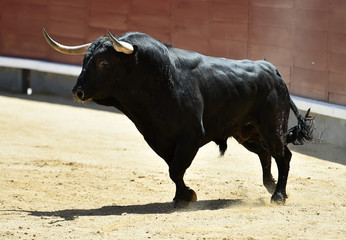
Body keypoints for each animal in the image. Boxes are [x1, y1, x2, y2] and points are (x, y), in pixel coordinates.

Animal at [43, 29, 314, 206]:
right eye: (85, 60)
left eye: (104, 63)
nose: (78, 91)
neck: (159, 80)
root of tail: (273, 70)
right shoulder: (159, 137)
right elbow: (173, 168)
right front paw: (182, 196)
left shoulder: (190, 136)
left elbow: (176, 169)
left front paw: (187, 195)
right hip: (246, 132)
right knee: (266, 154)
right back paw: (271, 185)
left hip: (272, 126)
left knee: (283, 155)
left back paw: (278, 196)